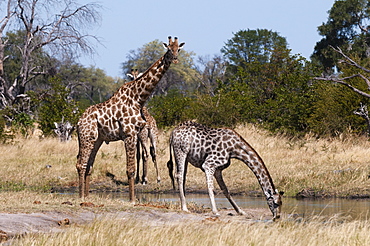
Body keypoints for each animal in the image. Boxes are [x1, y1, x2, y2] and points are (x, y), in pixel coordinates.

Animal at [76, 37, 184, 202]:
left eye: (178, 49)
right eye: (168, 49)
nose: (176, 59)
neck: (138, 98)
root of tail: (78, 122)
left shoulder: (135, 134)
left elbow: (134, 165)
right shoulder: (129, 134)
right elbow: (130, 169)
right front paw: (132, 200)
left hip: (97, 139)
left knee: (88, 165)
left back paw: (87, 196)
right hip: (87, 137)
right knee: (81, 164)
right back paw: (81, 197)